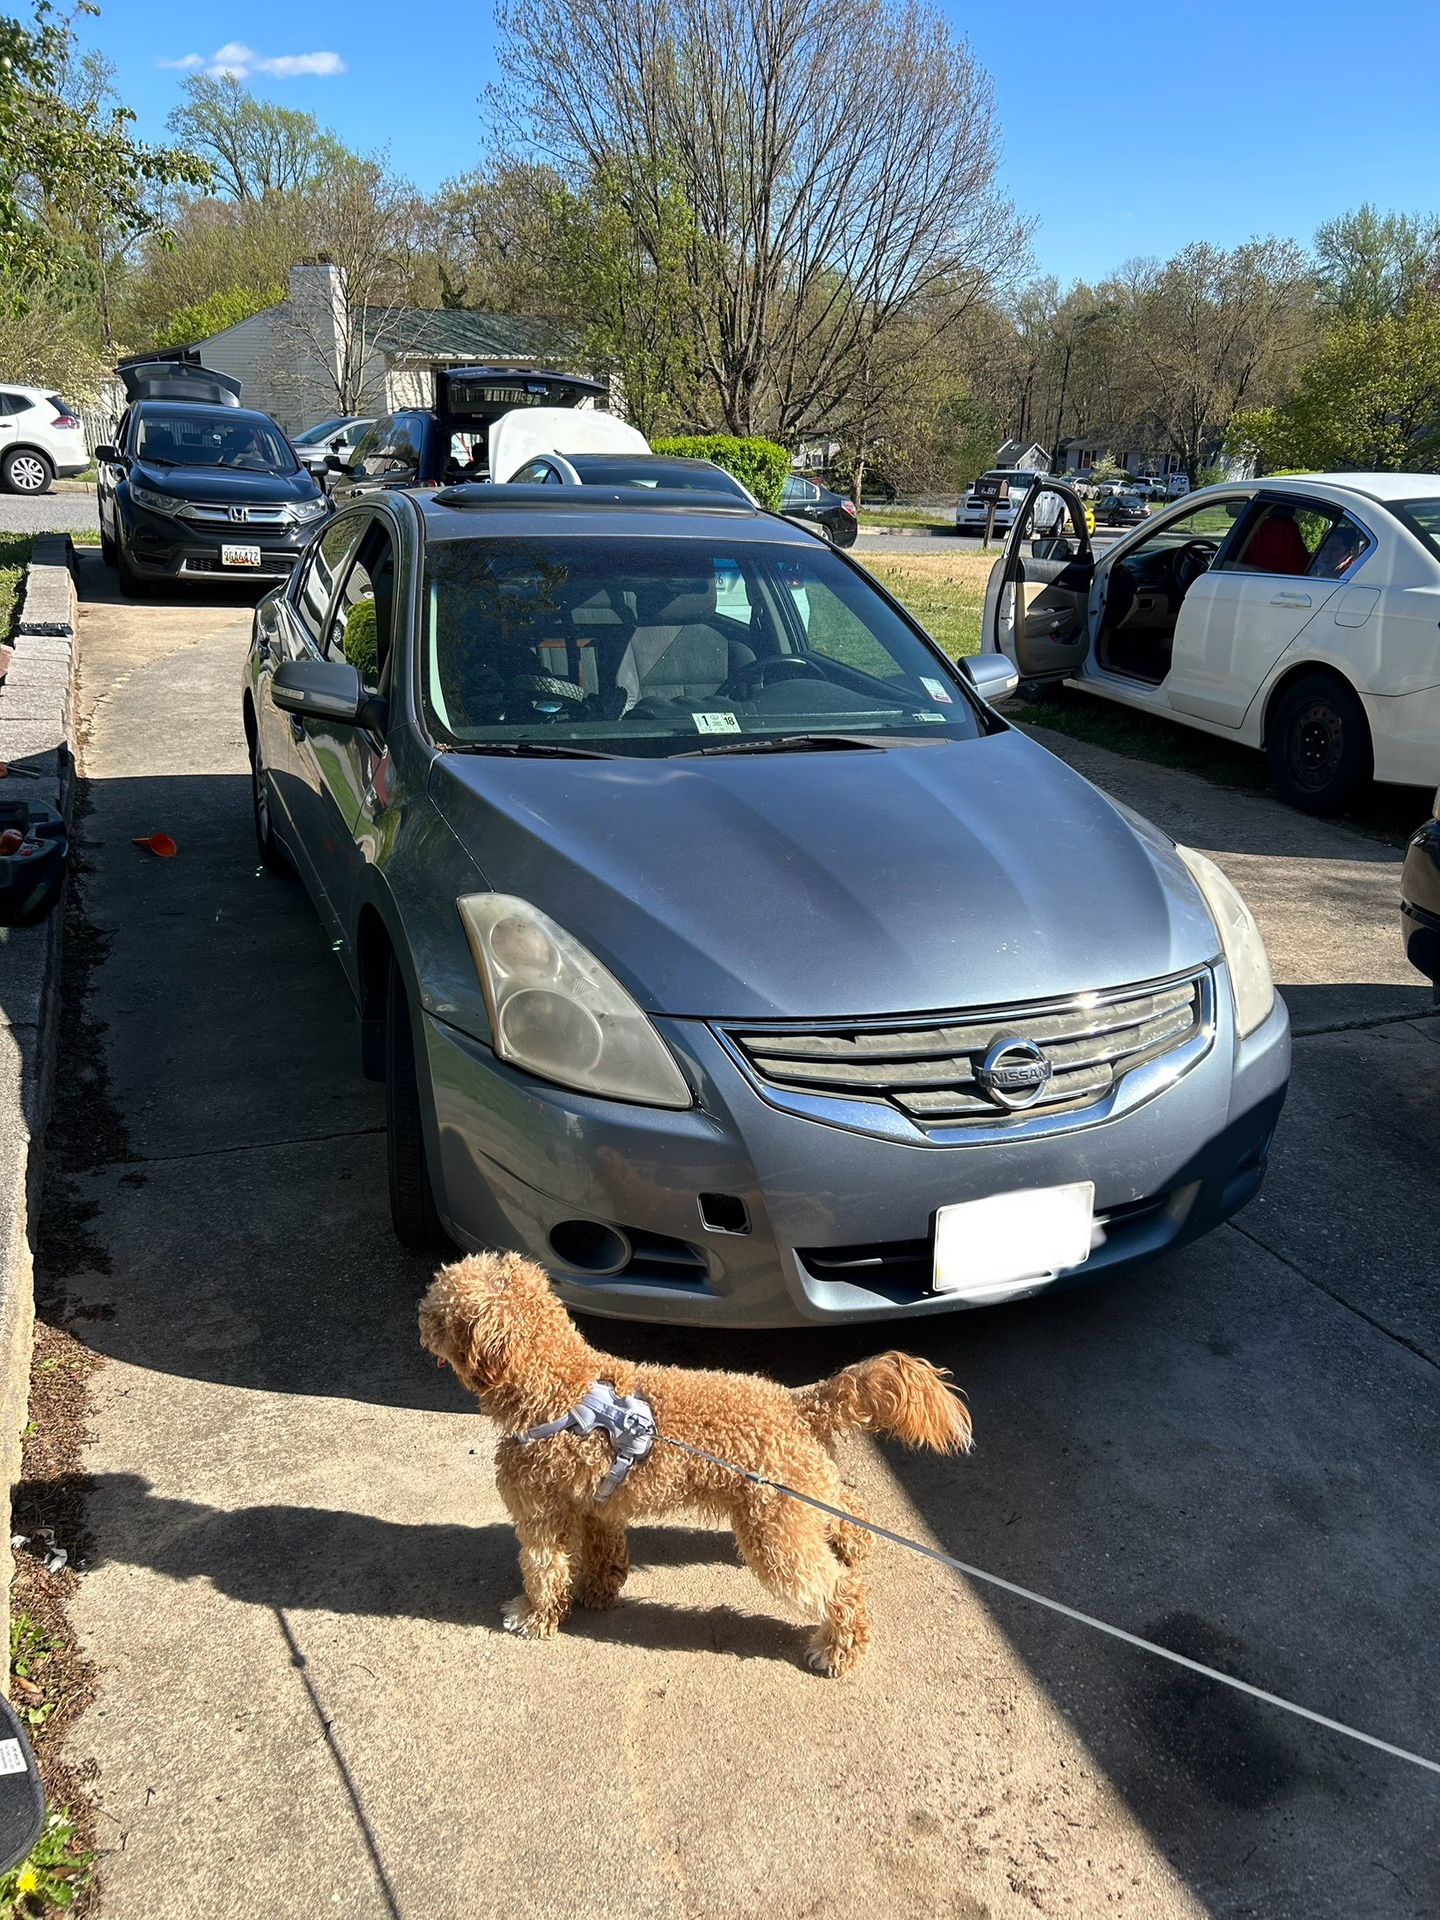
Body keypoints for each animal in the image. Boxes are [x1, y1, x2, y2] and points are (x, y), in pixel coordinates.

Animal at [422, 1251, 975, 1674]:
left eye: (442, 1311)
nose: (420, 1316)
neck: (560, 1390)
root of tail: (797, 1403)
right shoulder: (597, 1508)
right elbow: (602, 1555)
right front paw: (597, 1593)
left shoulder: (540, 1514)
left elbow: (543, 1570)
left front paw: (533, 1617)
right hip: (804, 1495)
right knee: (846, 1505)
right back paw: (855, 1545)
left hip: (775, 1533)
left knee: (842, 1590)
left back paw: (838, 1649)